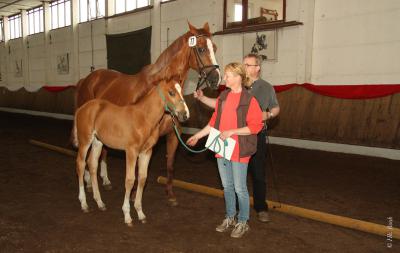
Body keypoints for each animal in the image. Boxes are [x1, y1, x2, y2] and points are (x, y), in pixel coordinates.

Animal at [72, 79, 189, 225]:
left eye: (182, 91)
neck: (144, 118)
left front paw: (140, 213)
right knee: (81, 165)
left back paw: (100, 203)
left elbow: (142, 178)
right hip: (84, 142)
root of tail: (81, 108)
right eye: (171, 92)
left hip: (97, 142)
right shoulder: (131, 152)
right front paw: (127, 215)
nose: (185, 114)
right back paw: (84, 204)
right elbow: (130, 180)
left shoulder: (146, 152)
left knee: (92, 164)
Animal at [76, 21, 222, 204]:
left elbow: (170, 165)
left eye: (214, 48)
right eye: (201, 49)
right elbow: (137, 171)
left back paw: (106, 180)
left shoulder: (173, 135)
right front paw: (132, 196)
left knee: (102, 152)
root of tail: (86, 79)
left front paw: (170, 194)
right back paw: (89, 182)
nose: (216, 79)